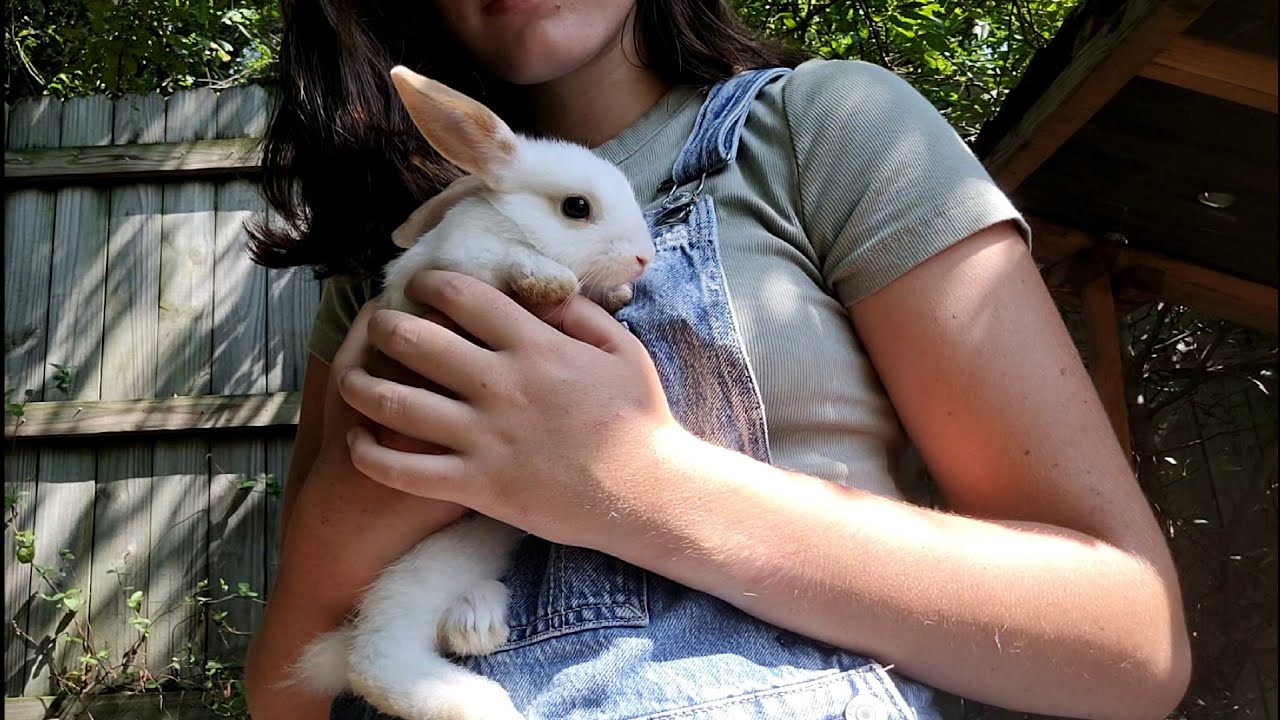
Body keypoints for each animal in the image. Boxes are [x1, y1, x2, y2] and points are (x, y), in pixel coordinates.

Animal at [287, 65, 657, 720]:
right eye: (577, 207)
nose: (644, 257)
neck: (504, 221)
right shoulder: (452, 266)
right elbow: (504, 262)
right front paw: (549, 279)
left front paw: (609, 295)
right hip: (415, 568)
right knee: (374, 658)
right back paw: (478, 701)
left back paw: (476, 622)